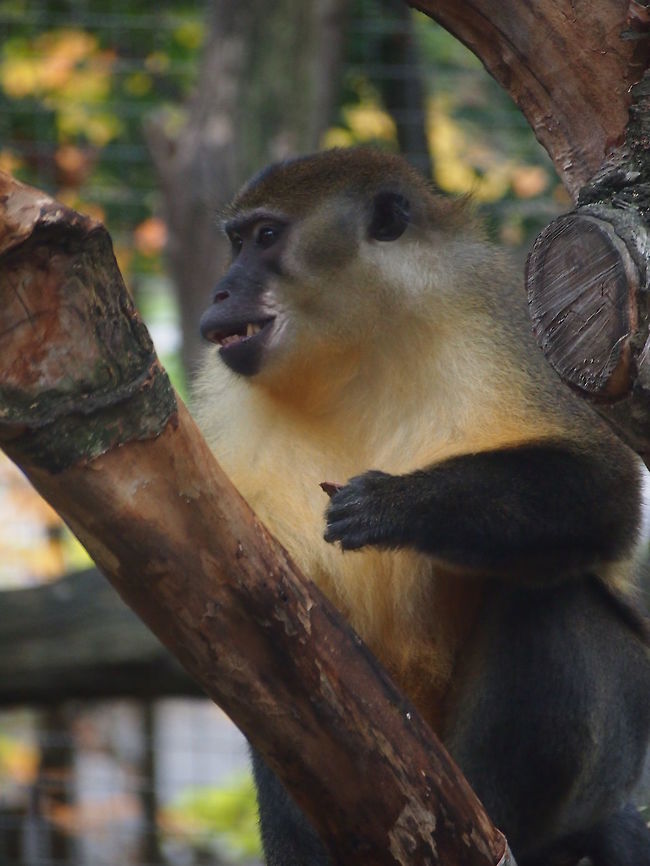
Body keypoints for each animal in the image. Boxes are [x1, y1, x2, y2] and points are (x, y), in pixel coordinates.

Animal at [194, 147, 650, 866]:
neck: (359, 349)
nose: (220, 291)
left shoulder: (507, 325)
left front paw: (398, 505)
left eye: (266, 237)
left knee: (553, 597)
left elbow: (606, 494)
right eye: (235, 242)